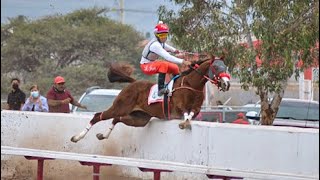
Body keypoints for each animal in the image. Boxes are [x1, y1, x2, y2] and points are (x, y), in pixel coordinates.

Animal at [70, 57, 230, 142]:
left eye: (226, 67)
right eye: (216, 67)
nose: (226, 84)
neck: (191, 85)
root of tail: (133, 82)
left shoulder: (197, 109)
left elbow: (192, 114)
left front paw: (185, 123)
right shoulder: (178, 106)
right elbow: (185, 112)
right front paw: (183, 123)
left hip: (140, 119)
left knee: (117, 119)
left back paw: (103, 135)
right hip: (120, 107)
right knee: (98, 116)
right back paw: (77, 137)